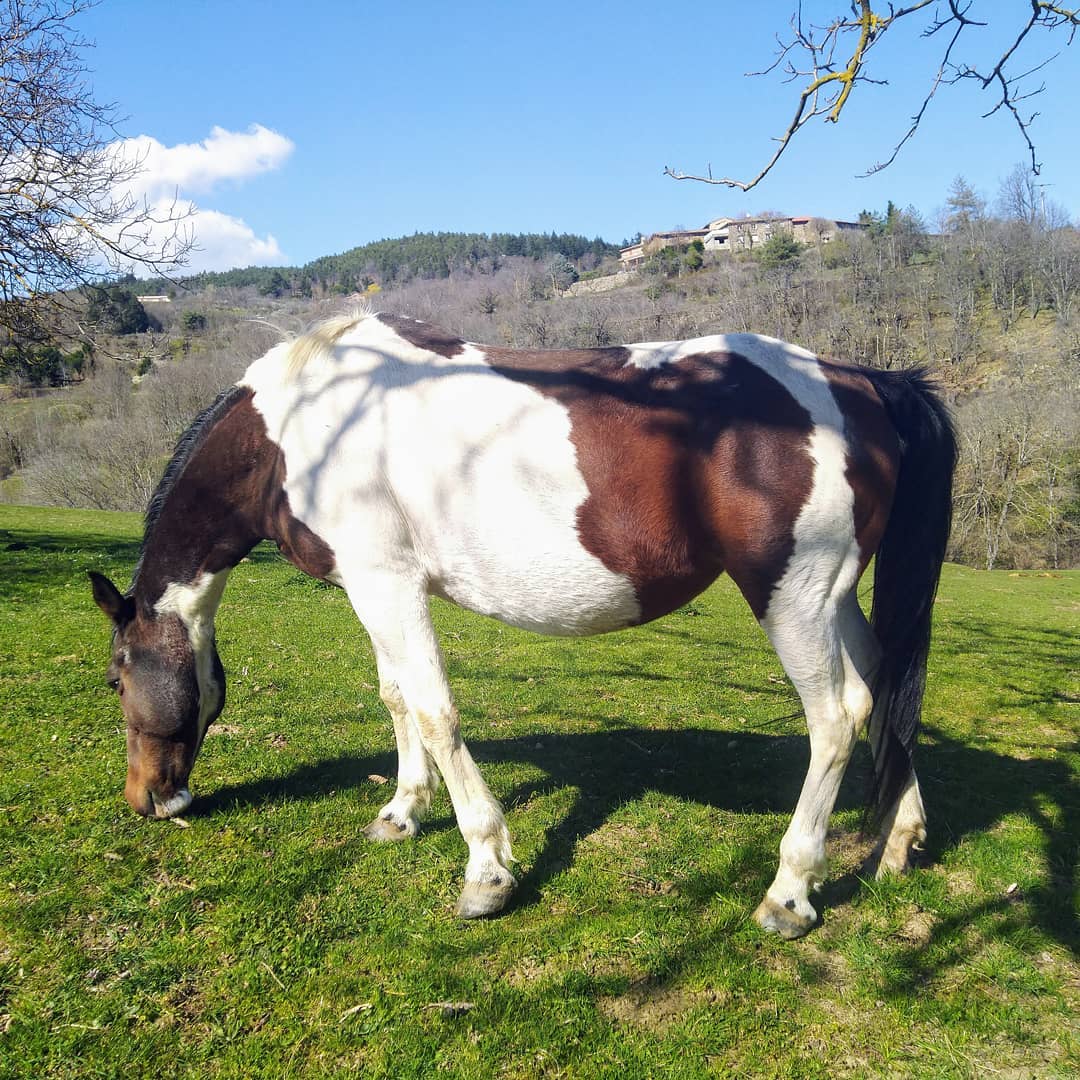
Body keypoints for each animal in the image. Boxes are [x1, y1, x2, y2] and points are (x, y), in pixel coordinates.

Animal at [90, 310, 956, 939]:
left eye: (114, 679)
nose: (146, 799)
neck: (305, 426)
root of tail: (858, 379)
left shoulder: (388, 586)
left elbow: (436, 714)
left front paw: (486, 871)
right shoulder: (370, 587)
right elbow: (396, 699)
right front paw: (402, 813)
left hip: (792, 596)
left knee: (837, 719)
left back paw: (790, 891)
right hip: (834, 598)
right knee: (883, 687)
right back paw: (899, 838)